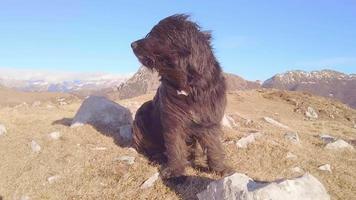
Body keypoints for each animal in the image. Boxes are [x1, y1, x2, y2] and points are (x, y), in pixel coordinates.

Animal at [131, 14, 234, 180]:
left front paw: (220, 168)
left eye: (156, 34)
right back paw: (157, 157)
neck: (189, 86)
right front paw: (175, 171)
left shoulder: (208, 120)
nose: (132, 44)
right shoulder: (173, 119)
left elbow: (214, 145)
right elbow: (175, 145)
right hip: (142, 115)